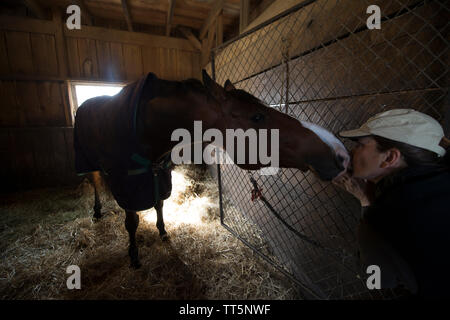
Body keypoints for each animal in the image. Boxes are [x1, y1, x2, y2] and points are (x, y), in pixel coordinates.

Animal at [74, 70, 350, 268]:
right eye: (257, 117)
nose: (341, 154)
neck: (146, 126)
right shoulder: (128, 185)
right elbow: (131, 222)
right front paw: (133, 254)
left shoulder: (160, 175)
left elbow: (159, 204)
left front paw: (163, 231)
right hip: (88, 162)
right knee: (94, 181)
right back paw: (97, 211)